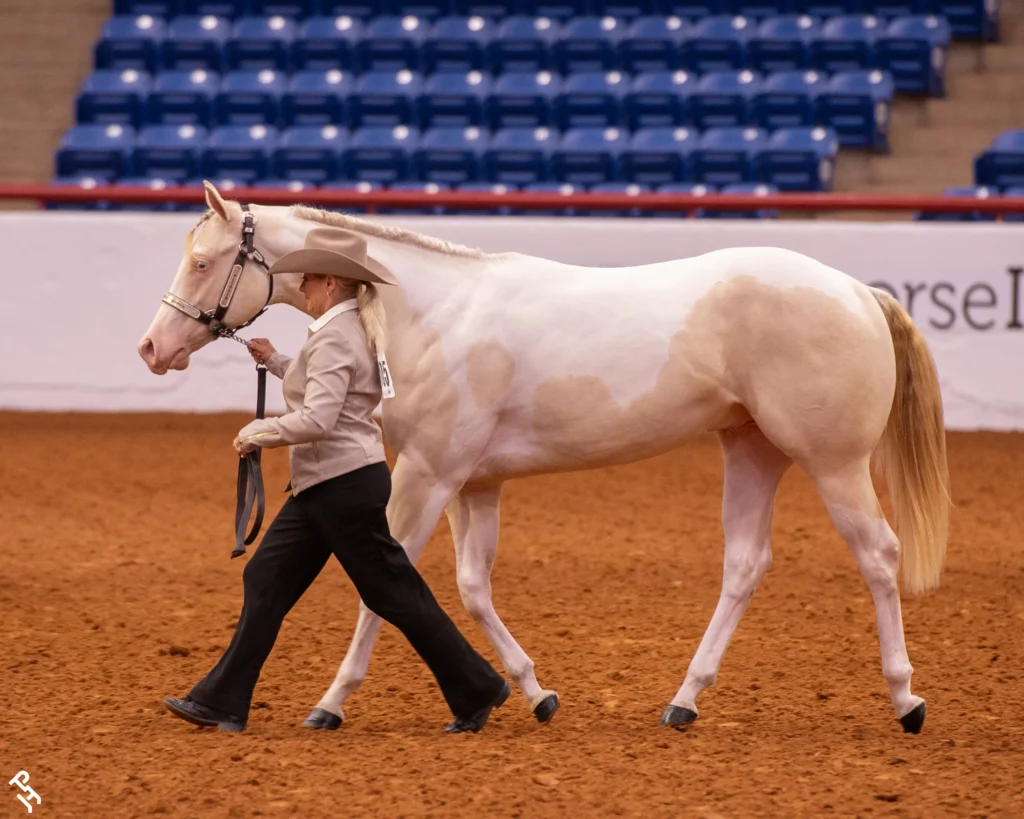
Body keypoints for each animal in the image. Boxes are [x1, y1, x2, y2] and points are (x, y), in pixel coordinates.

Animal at [138, 181, 950, 735]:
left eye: (204, 261)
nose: (152, 348)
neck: (427, 310)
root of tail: (857, 291)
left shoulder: (426, 474)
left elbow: (383, 587)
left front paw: (331, 702)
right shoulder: (474, 483)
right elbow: (470, 587)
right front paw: (532, 693)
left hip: (833, 461)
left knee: (879, 554)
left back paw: (906, 698)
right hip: (752, 449)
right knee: (746, 564)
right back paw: (683, 700)